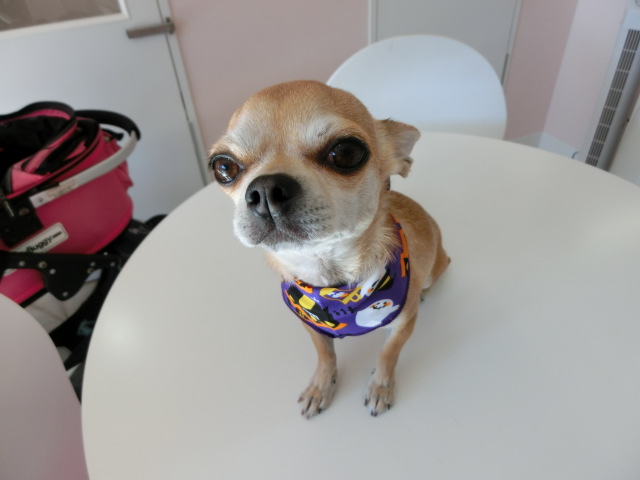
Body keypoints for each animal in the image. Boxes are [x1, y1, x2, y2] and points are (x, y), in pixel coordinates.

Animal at [209, 80, 449, 417]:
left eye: (346, 153)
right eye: (223, 166)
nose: (266, 188)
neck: (332, 281)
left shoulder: (402, 324)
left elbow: (388, 354)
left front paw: (381, 386)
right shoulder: (311, 324)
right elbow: (325, 355)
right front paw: (321, 386)